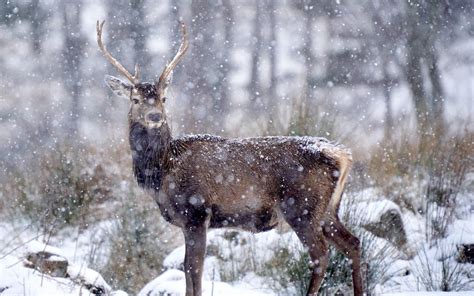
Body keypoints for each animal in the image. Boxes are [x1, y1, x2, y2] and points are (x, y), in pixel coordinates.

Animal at [96, 19, 362, 294]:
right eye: (135, 99)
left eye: (163, 98)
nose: (155, 116)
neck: (162, 172)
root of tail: (343, 155)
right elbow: (187, 269)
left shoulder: (196, 212)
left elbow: (193, 269)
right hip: (328, 209)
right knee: (353, 243)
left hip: (302, 206)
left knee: (321, 254)